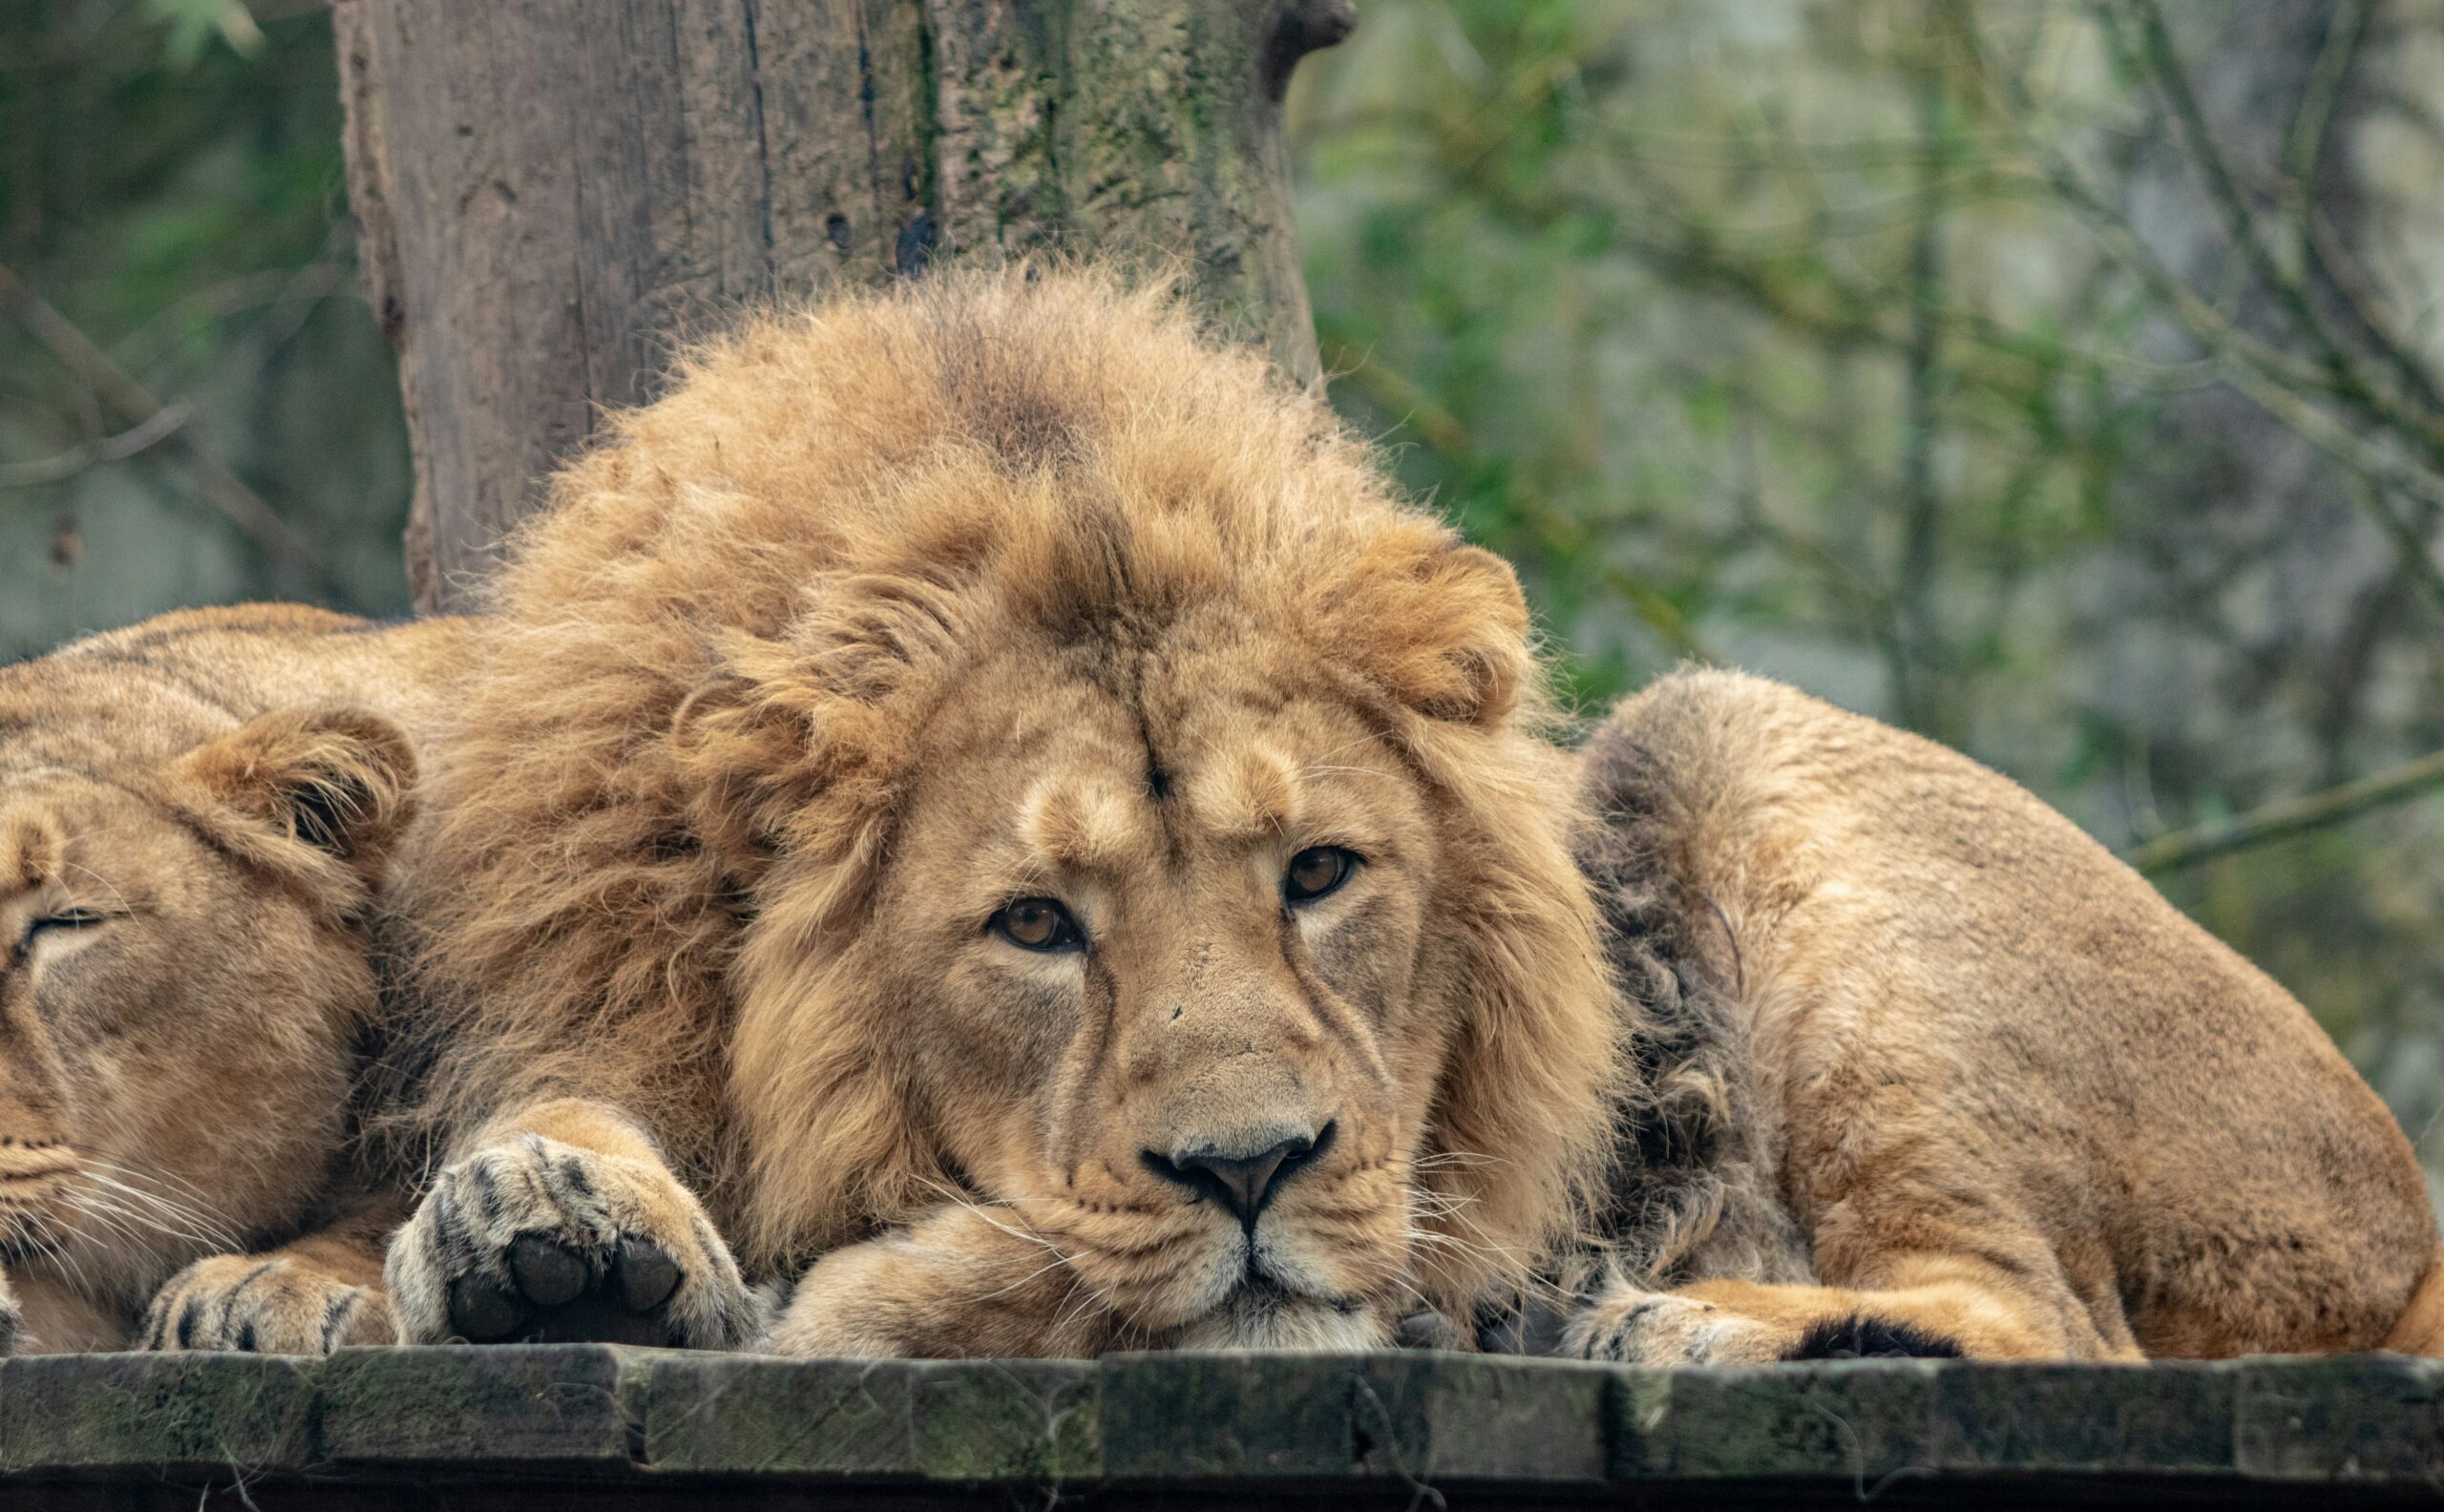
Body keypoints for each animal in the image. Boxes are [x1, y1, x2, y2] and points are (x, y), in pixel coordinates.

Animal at [386, 265, 2444, 1368]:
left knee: (2044, 1317)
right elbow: (566, 1104)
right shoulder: (601, 972)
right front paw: (536, 1224)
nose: (1249, 1171)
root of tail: (2404, 1189)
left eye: (1319, 875)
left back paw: (1683, 1321)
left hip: (1735, 754)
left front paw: (857, 1283)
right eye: (1034, 924)